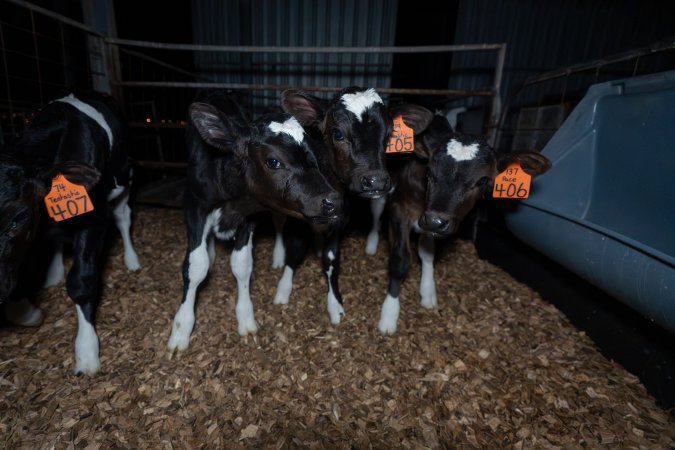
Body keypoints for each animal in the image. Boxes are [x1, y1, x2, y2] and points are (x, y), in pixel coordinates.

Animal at [0, 91, 141, 375]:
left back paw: (132, 261)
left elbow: (82, 280)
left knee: (123, 217)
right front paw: (27, 311)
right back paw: (53, 273)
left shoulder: (93, 217)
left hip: (125, 177)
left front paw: (86, 351)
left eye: (18, 218)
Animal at [166, 91, 343, 352]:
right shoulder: (194, 206)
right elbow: (195, 265)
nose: (334, 200)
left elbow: (242, 264)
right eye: (273, 161)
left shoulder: (249, 218)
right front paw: (181, 330)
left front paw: (246, 318)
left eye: (314, 157)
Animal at [270, 87, 433, 325]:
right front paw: (283, 288)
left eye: (389, 135)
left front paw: (334, 304)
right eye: (338, 133)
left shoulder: (341, 218)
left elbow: (331, 258)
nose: (376, 181)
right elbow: (295, 248)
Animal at [377, 114, 552, 334]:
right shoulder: (399, 209)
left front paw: (428, 292)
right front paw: (389, 315)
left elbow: (427, 253)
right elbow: (400, 259)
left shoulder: (429, 221)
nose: (435, 221)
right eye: (429, 172)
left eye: (483, 181)